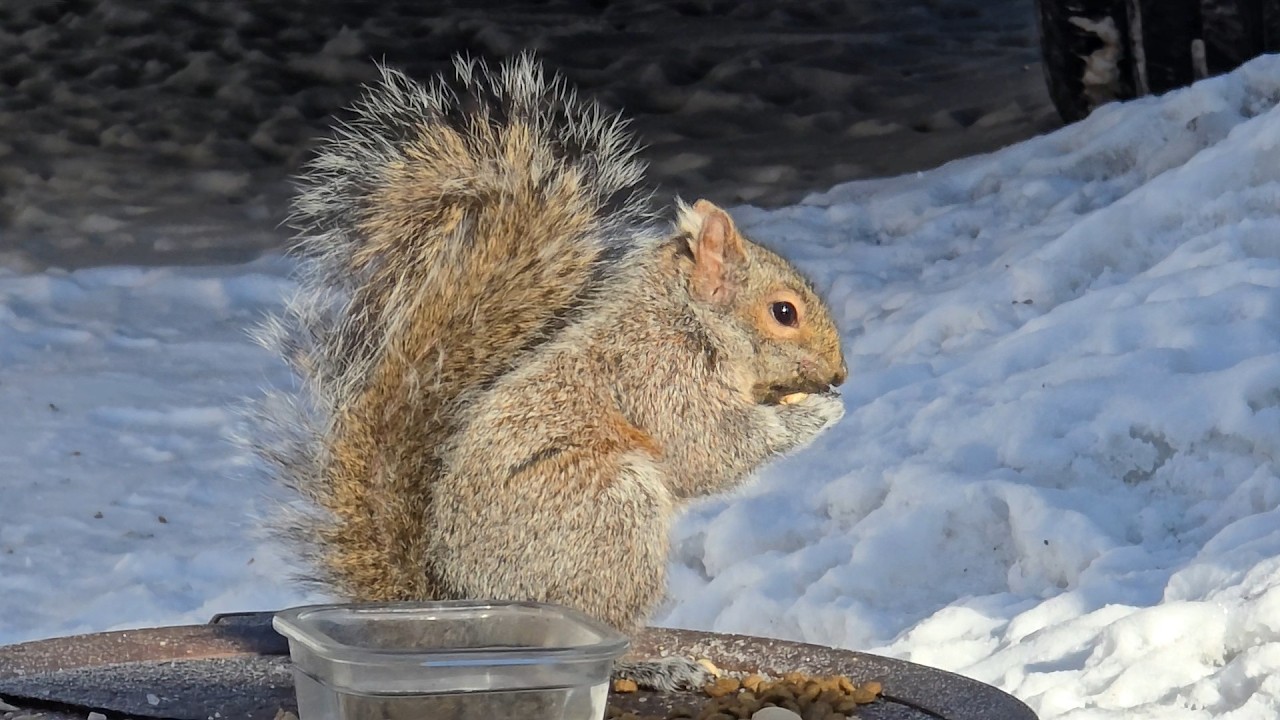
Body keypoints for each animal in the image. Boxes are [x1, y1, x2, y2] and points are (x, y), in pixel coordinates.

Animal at [248, 54, 847, 691]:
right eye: (783, 312)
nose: (841, 374)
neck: (687, 316)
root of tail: (457, 603)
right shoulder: (657, 374)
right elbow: (709, 450)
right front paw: (815, 415)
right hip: (607, 520)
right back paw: (656, 665)